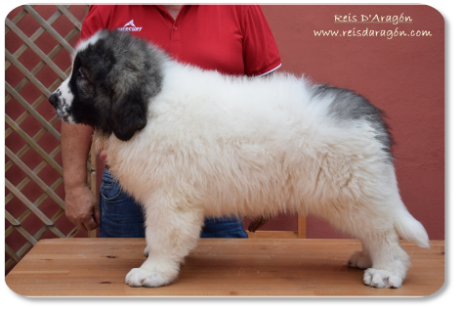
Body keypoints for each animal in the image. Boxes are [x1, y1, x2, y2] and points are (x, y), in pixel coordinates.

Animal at [48, 30, 430, 288]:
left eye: (82, 76)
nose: (52, 99)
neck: (150, 103)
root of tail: (368, 115)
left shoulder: (170, 199)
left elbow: (163, 236)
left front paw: (153, 272)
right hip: (357, 195)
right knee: (376, 229)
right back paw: (366, 257)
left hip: (352, 192)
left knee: (385, 235)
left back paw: (387, 270)